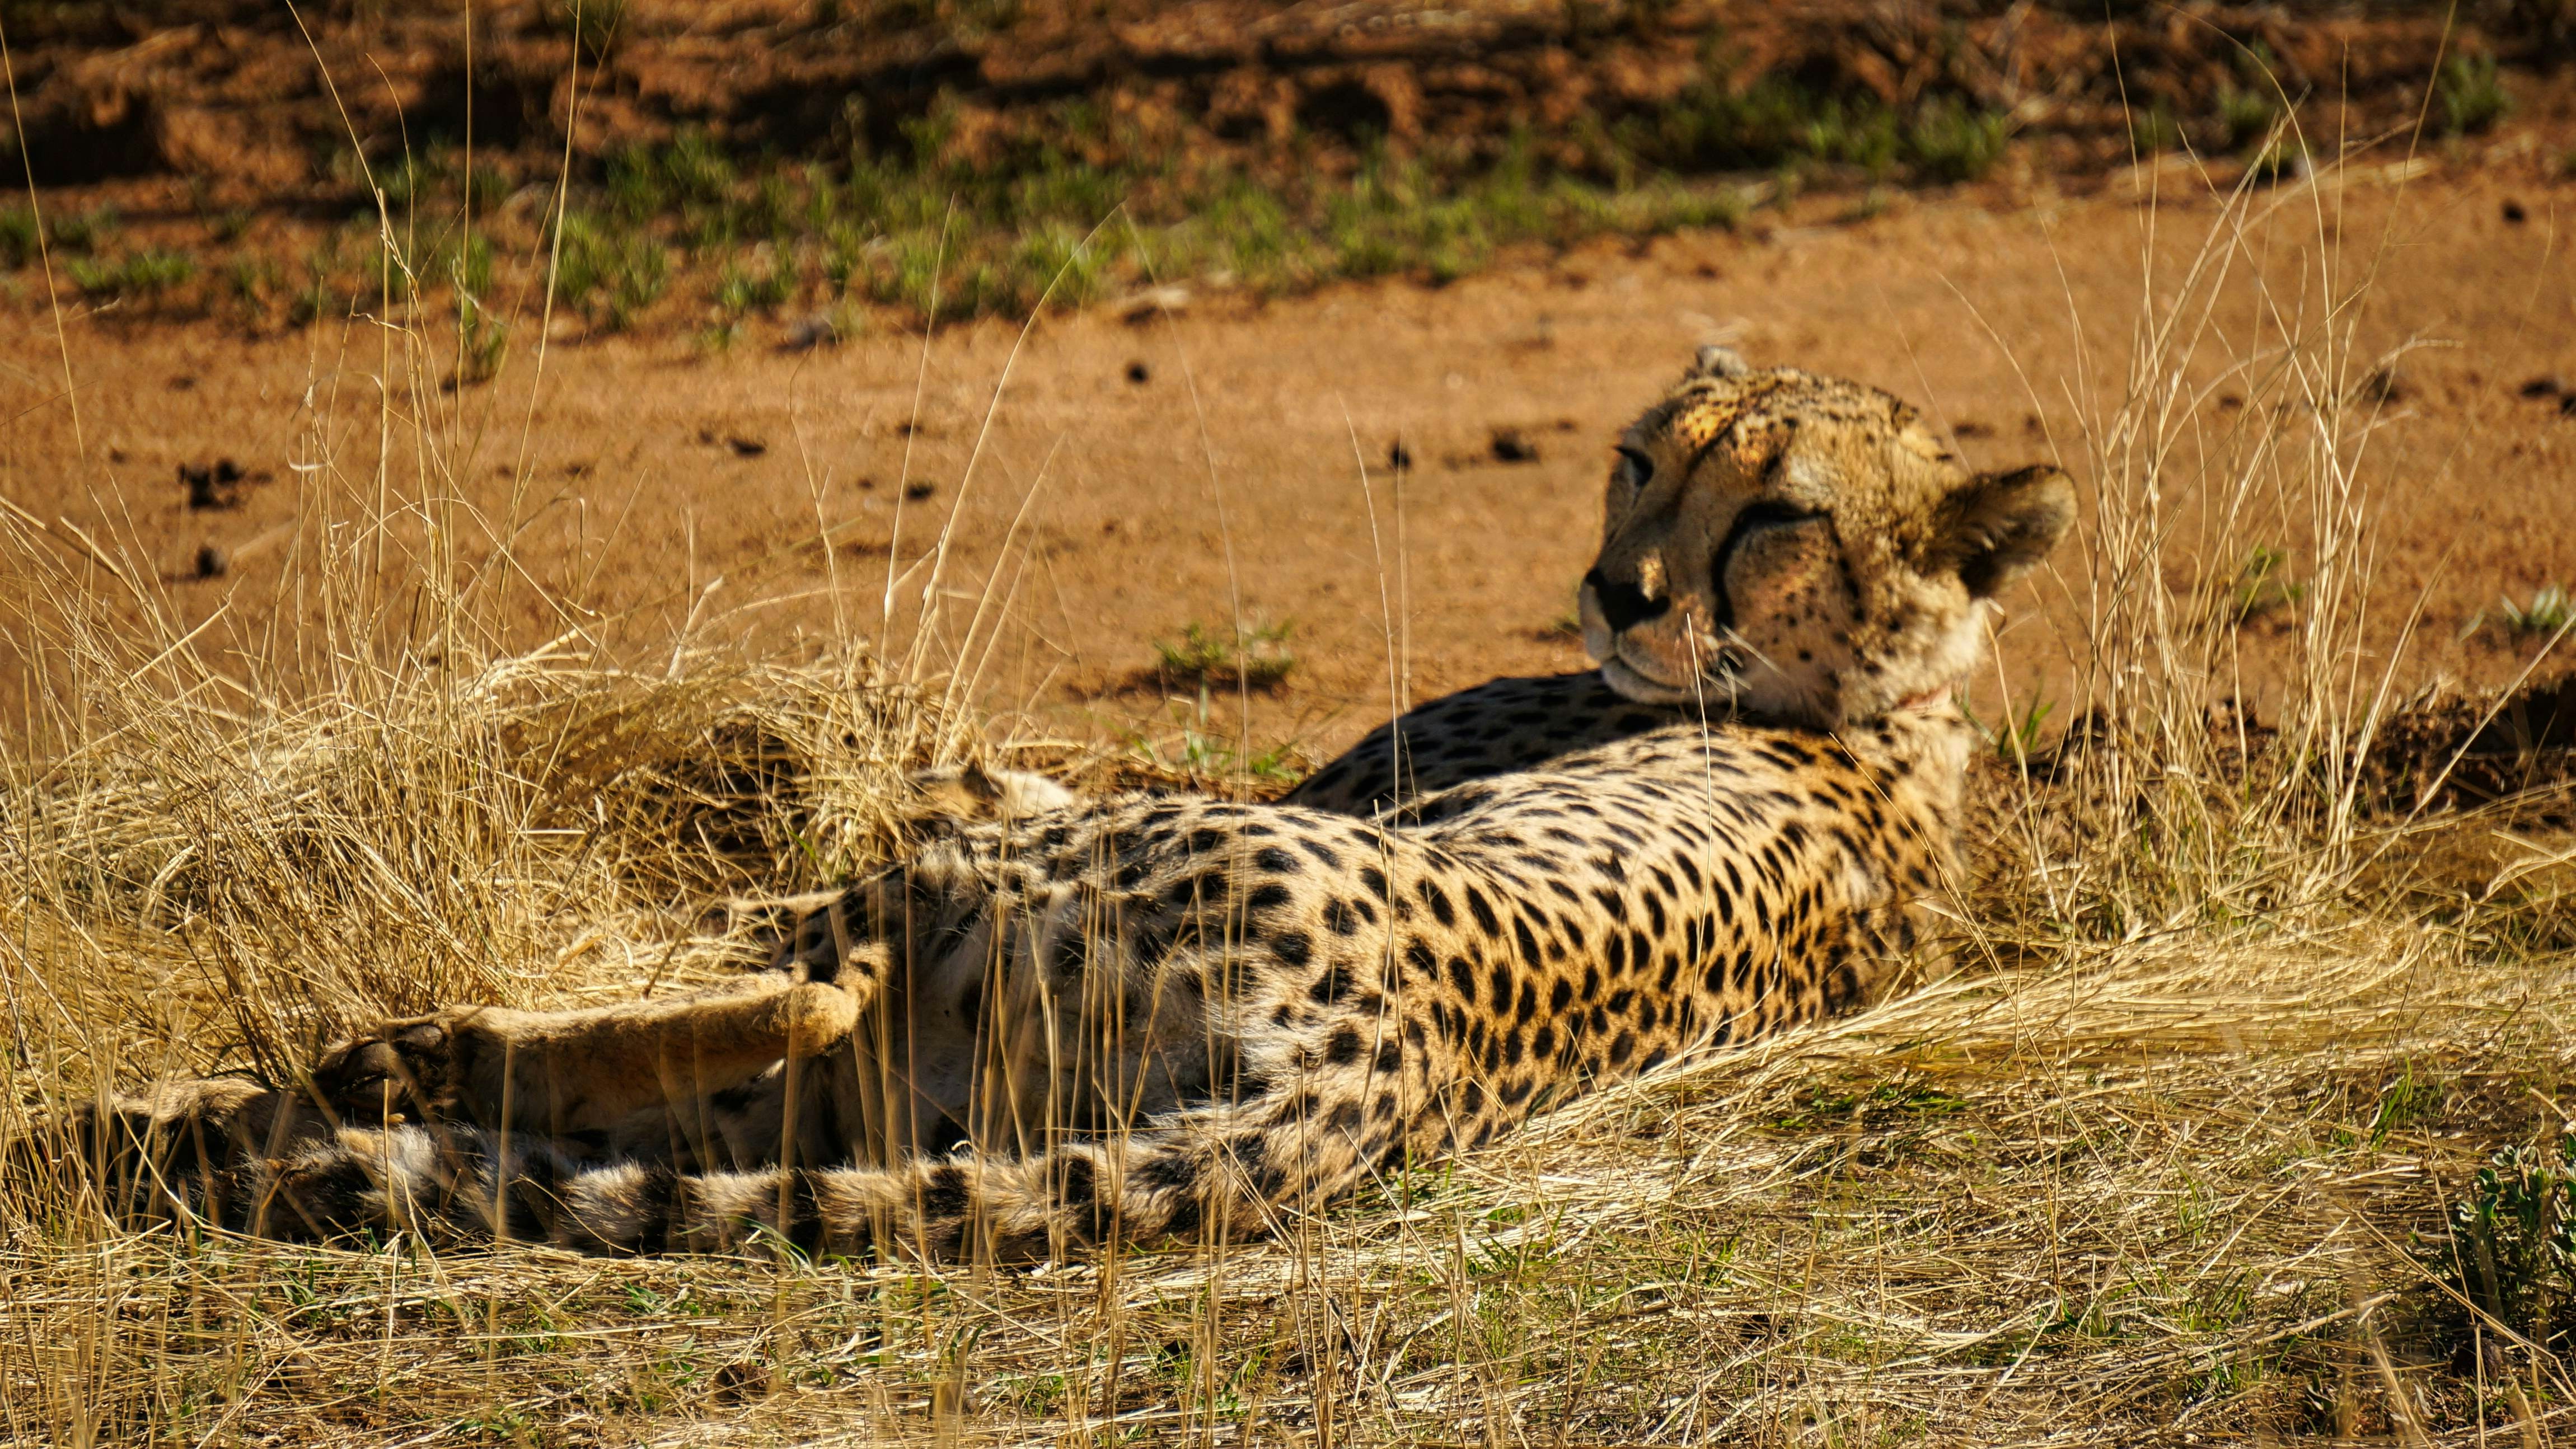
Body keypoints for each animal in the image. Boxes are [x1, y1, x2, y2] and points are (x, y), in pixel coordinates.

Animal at [28, 348, 2074, 1263]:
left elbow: (943, 795)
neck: (1890, 703)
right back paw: (189, 1118)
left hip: (997, 922)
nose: (1618, 592)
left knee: (801, 978)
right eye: (1645, 459)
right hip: (940, 1089)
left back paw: (338, 1063)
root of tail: (1378, 1066)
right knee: (715, 1081)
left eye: (1778, 511)